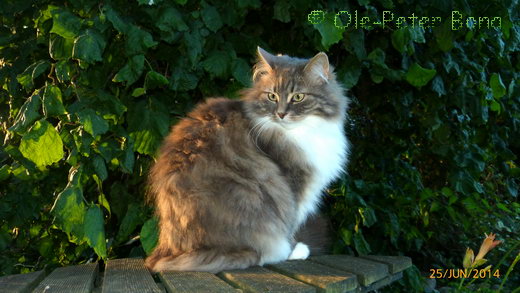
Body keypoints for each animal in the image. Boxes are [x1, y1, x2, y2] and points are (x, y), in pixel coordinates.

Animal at [144, 46, 352, 272]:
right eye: (272, 96)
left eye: (298, 97)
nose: (280, 114)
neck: (302, 131)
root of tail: (167, 250)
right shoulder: (294, 187)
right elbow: (290, 224)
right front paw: (295, 250)